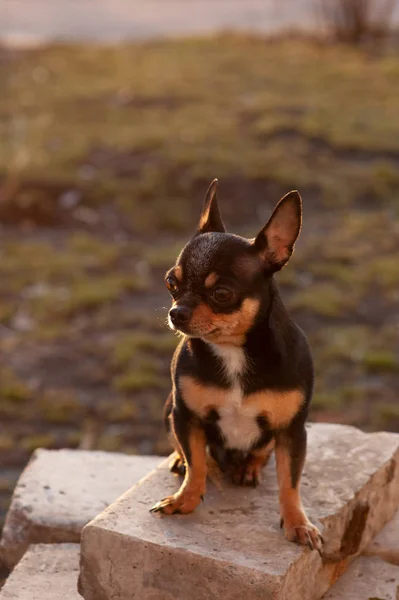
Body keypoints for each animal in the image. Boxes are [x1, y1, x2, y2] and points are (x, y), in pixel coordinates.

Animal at [152, 179, 324, 552]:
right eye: (171, 283)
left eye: (222, 294)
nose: (176, 312)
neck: (233, 351)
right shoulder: (186, 416)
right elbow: (197, 464)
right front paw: (185, 500)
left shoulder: (292, 431)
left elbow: (290, 481)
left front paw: (297, 523)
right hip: (169, 408)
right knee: (189, 452)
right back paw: (180, 461)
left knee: (263, 452)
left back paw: (250, 467)